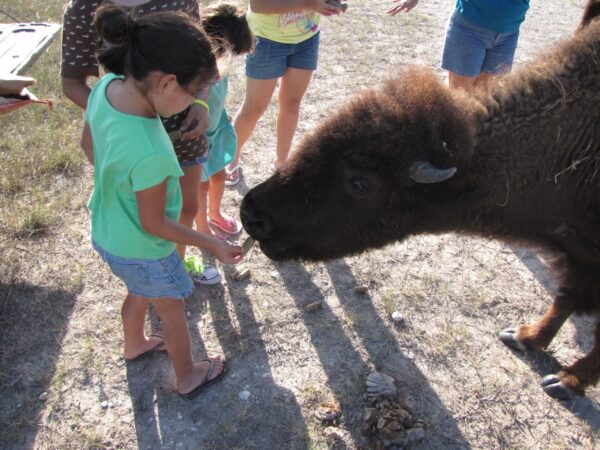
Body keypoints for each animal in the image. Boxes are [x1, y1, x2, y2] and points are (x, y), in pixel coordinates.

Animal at [241, 2, 600, 398]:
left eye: (360, 182)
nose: (251, 213)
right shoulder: (580, 258)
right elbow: (565, 297)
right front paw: (525, 337)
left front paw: (565, 380)